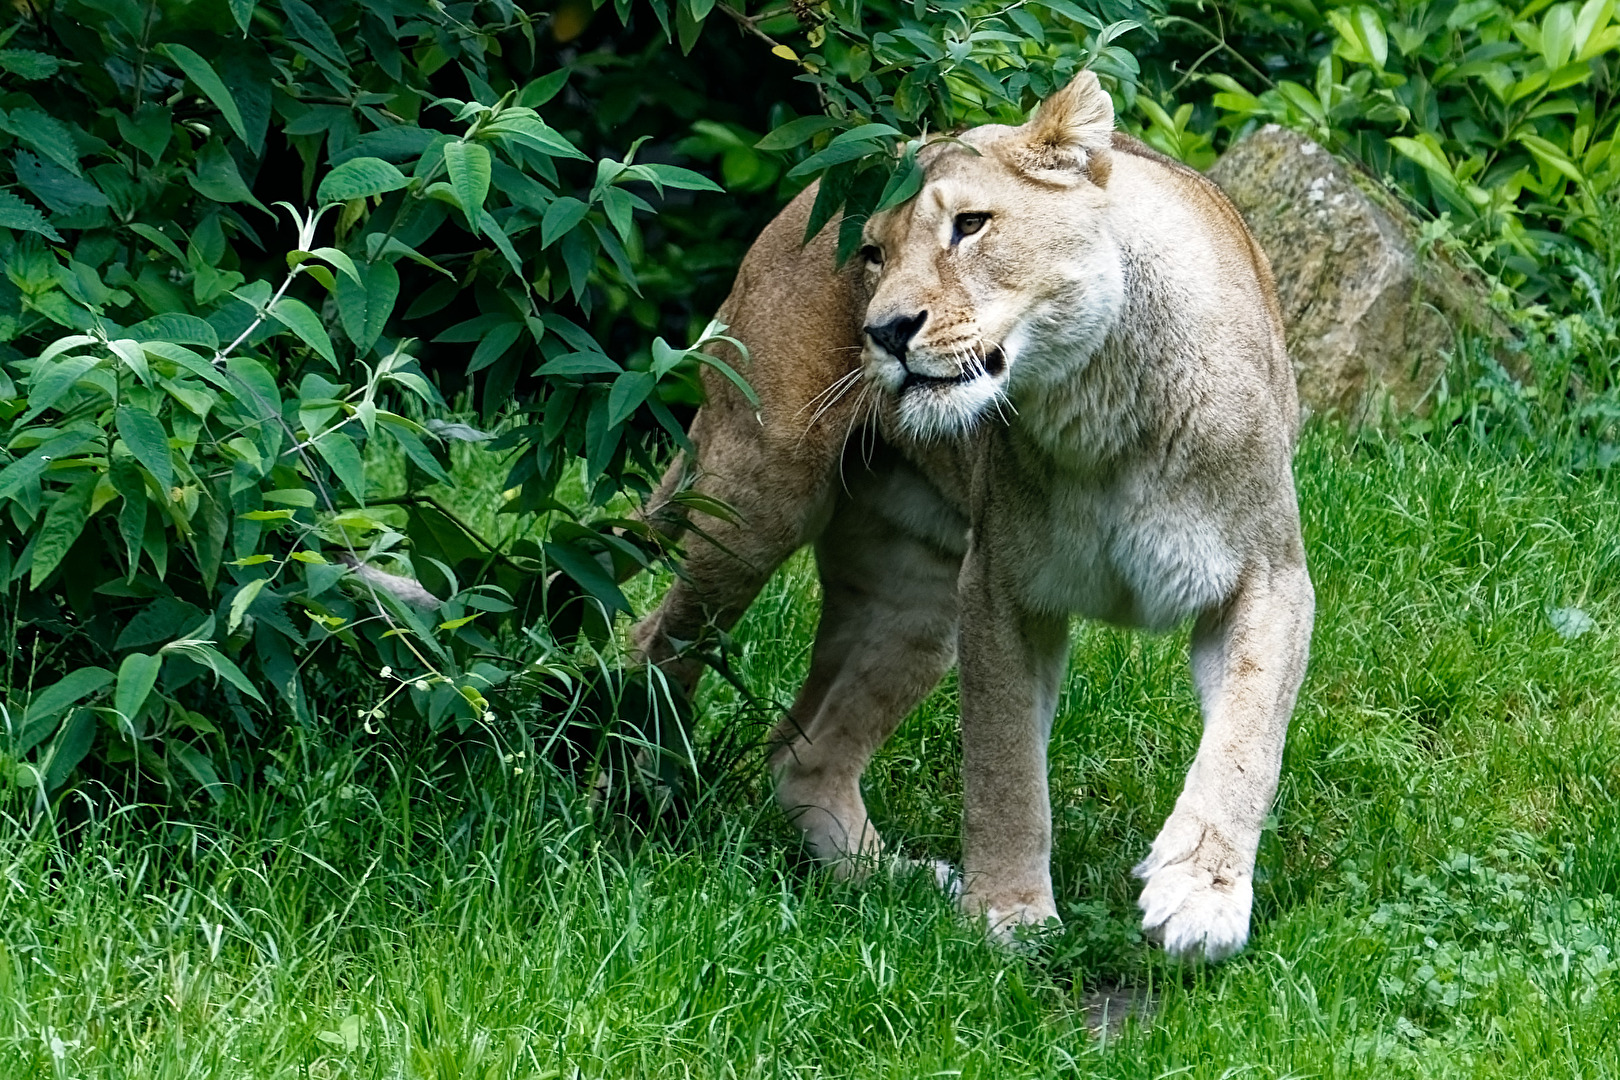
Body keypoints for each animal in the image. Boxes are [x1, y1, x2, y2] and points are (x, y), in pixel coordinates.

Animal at [631, 71, 1314, 961]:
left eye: (971, 225)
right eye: (873, 254)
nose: (884, 331)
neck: (1100, 409)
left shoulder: (1268, 576)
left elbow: (1244, 743)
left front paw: (1198, 895)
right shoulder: (998, 592)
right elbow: (1004, 766)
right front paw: (1009, 916)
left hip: (915, 598)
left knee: (799, 752)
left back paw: (889, 880)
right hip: (753, 498)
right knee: (655, 642)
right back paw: (635, 797)